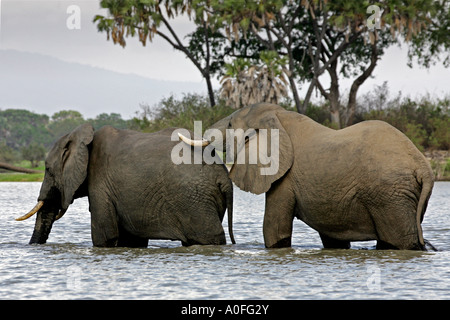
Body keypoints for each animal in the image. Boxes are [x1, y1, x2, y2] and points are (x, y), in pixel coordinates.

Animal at [16, 125, 236, 248]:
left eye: (47, 169)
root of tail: (222, 173)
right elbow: (131, 241)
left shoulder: (100, 184)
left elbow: (104, 237)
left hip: (193, 198)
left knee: (208, 237)